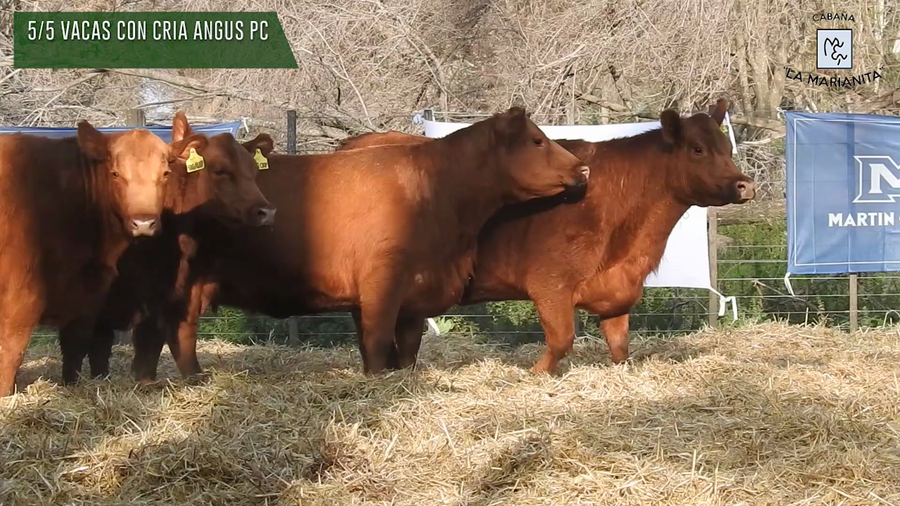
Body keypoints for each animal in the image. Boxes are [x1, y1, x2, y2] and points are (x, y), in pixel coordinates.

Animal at [0, 121, 207, 396]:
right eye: (115, 173)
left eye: (165, 173)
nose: (143, 223)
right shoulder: (21, 298)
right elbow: (11, 353)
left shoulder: (84, 301)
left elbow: (75, 352)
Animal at [120, 106, 591, 382]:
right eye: (537, 140)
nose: (581, 169)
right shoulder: (382, 283)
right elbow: (378, 344)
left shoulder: (411, 294)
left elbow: (404, 350)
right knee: (169, 332)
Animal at [335, 98, 756, 373]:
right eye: (698, 149)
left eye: (727, 146)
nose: (745, 185)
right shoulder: (550, 286)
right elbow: (561, 340)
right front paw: (536, 375)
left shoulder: (617, 294)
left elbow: (620, 348)